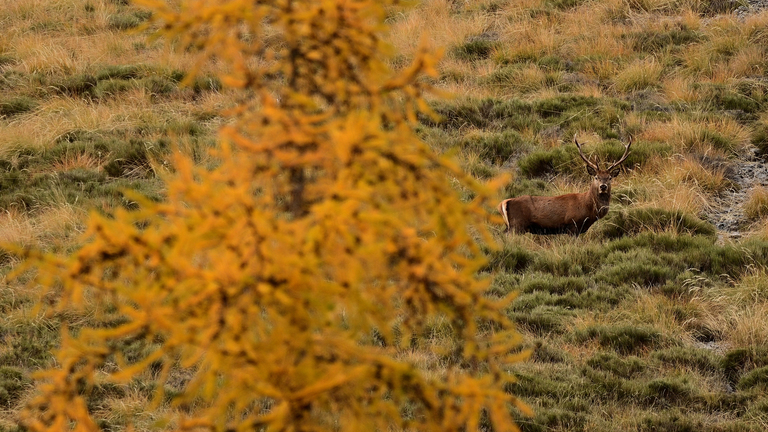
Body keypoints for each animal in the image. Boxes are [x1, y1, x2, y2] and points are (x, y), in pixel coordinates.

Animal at [498, 136, 632, 235]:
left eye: (609, 178)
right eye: (596, 177)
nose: (603, 186)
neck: (589, 209)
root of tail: (504, 202)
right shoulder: (572, 225)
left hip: (511, 226)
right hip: (517, 225)